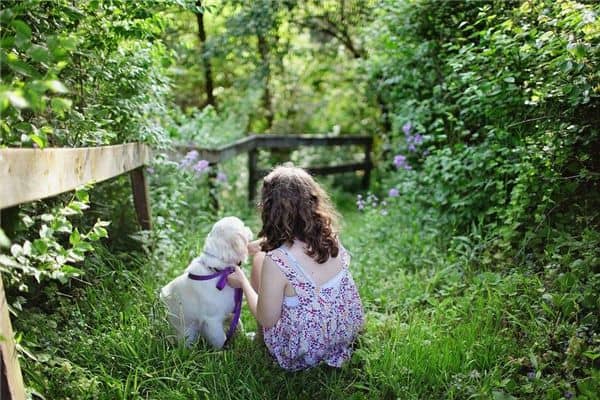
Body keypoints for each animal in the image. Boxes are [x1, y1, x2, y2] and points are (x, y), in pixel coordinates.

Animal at [159, 217, 251, 348]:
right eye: (243, 227)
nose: (249, 228)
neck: (219, 272)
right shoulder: (212, 321)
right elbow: (220, 339)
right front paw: (223, 351)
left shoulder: (232, 311)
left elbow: (239, 325)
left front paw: (246, 338)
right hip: (188, 332)